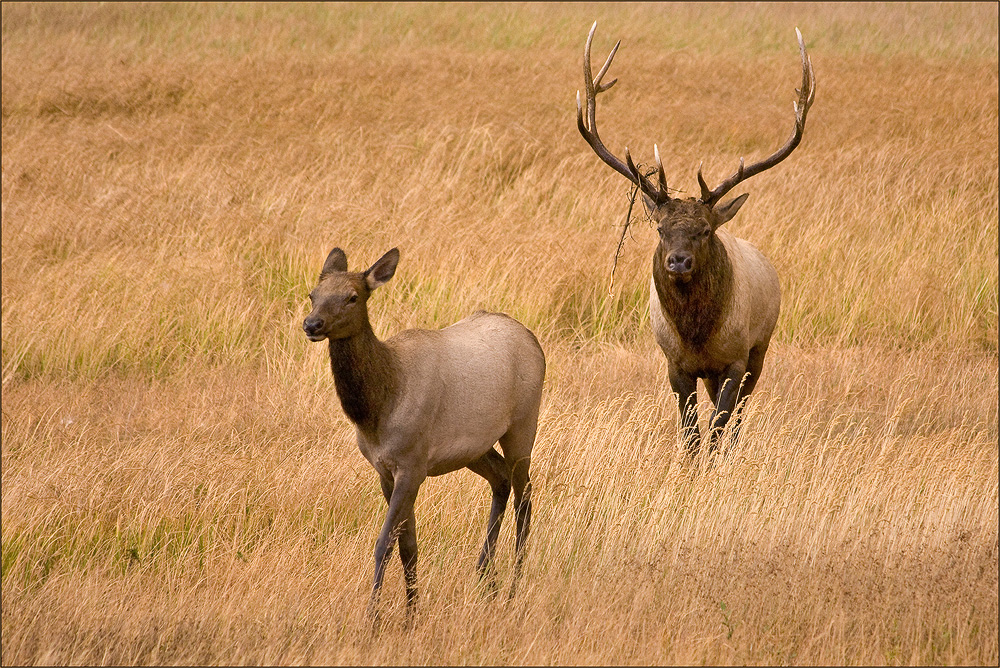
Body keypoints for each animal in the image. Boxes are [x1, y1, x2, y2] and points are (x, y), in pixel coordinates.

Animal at [302, 248, 548, 624]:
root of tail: (533, 339)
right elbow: (408, 546)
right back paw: (485, 577)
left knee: (526, 498)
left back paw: (511, 589)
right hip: (475, 448)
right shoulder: (385, 470)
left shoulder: (412, 464)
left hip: (523, 424)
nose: (312, 324)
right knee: (501, 479)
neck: (378, 410)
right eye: (313, 295)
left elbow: (384, 542)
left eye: (352, 297)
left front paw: (373, 619)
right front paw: (411, 615)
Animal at [576, 23, 816, 456]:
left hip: (761, 349)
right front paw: (690, 464)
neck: (697, 336)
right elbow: (689, 433)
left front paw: (715, 463)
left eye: (705, 230)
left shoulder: (736, 358)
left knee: (738, 417)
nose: (678, 261)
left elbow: (719, 428)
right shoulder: (675, 364)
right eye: (660, 229)